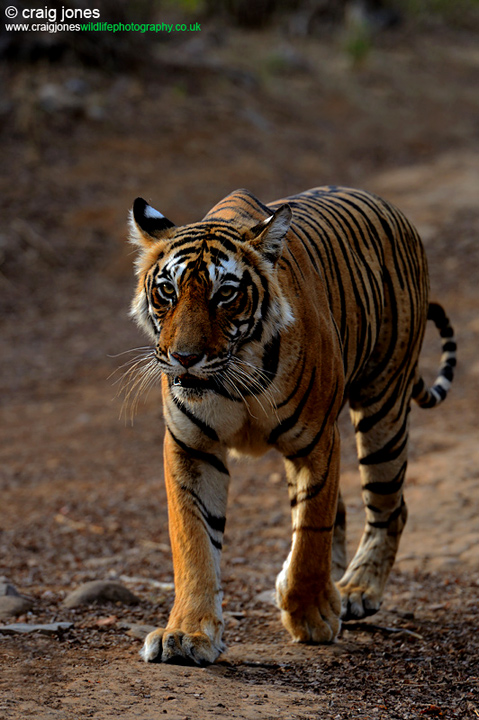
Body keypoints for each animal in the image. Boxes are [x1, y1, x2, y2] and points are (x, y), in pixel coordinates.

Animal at [127, 185, 456, 666]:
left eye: (225, 294)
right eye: (167, 290)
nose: (184, 358)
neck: (234, 376)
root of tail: (391, 208)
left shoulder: (317, 442)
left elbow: (312, 531)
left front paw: (311, 615)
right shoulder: (191, 447)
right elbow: (193, 540)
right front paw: (186, 634)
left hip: (383, 407)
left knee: (389, 507)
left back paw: (356, 589)